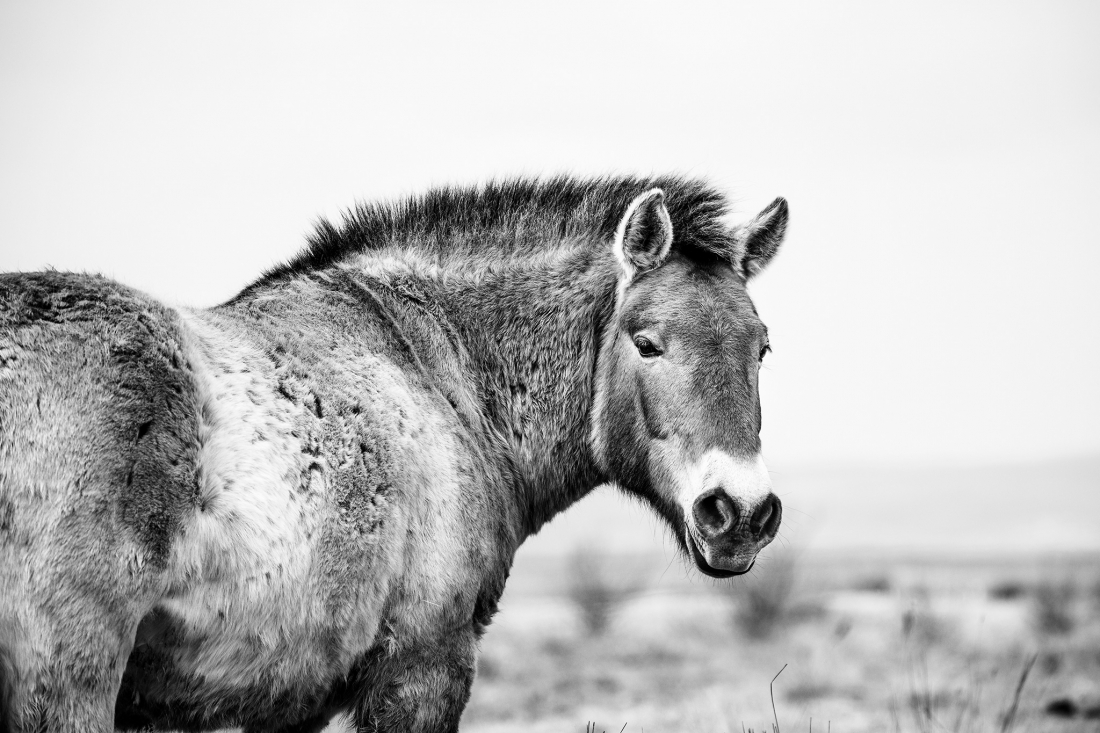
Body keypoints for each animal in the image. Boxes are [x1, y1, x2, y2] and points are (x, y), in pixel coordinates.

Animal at [0, 175, 789, 732]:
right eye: (647, 342)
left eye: (761, 348)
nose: (740, 514)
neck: (439, 373)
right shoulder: (422, 670)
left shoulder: (294, 702)